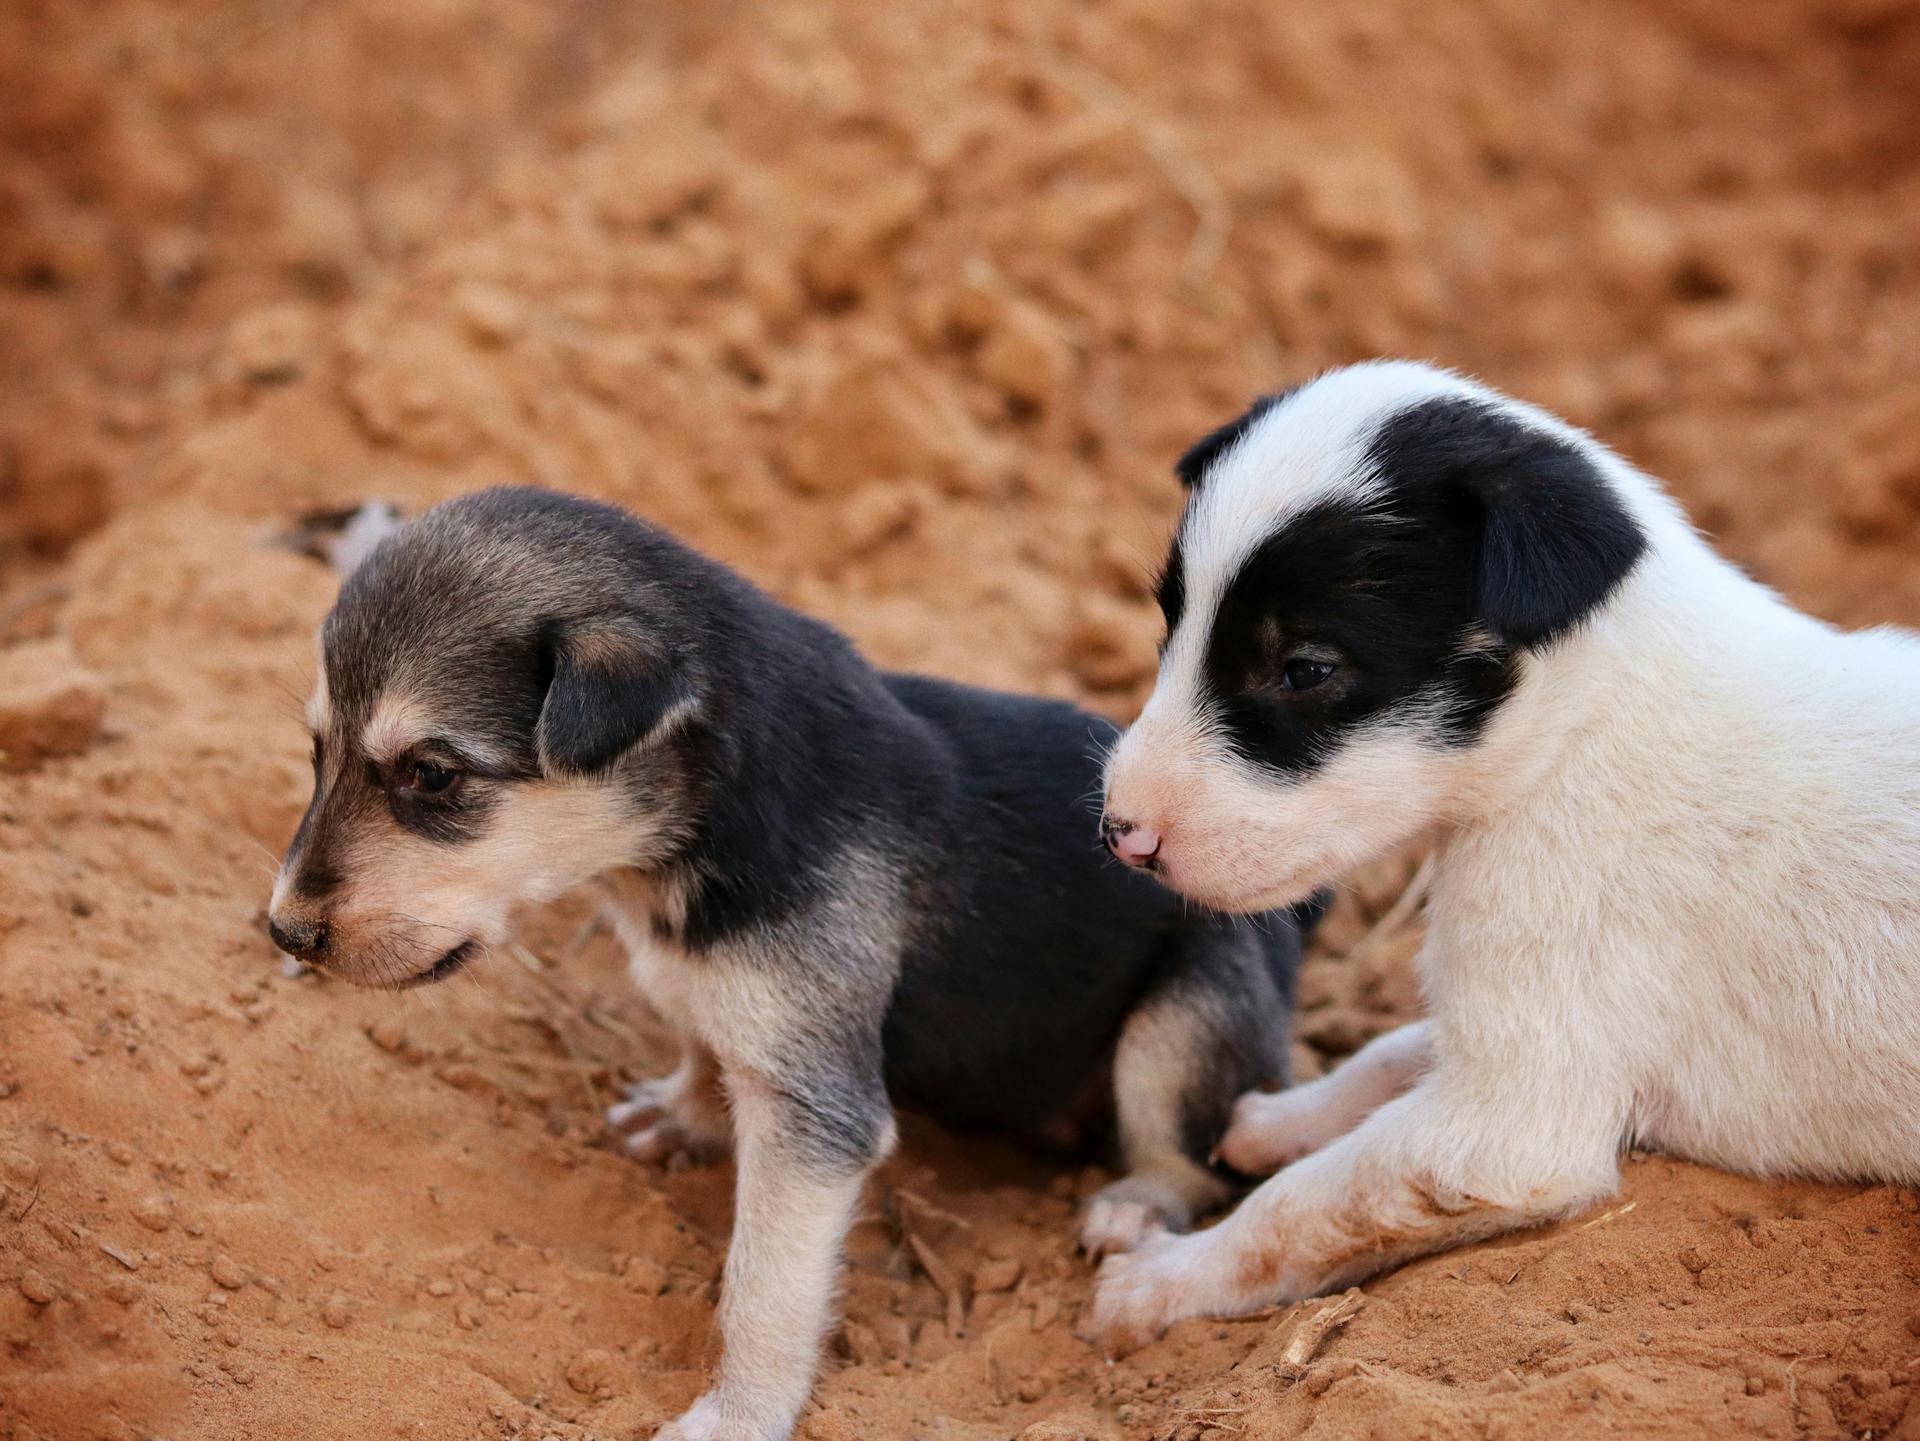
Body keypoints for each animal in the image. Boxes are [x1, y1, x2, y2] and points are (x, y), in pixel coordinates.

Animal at [266, 487, 1305, 1441]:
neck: (690, 827)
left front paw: (737, 1414)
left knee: (1196, 1154)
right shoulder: (715, 996)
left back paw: (1133, 1206)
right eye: (315, 754)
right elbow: (701, 1036)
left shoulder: (815, 1114)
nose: (283, 933)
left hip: (1186, 1016)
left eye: (433, 776)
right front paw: (684, 1112)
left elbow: (762, 1283)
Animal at [1090, 360, 1920, 1350]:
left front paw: (1161, 1279)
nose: (1122, 833)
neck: (1578, 730)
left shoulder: (1509, 1119)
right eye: (1169, 624)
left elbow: (1304, 1204)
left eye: (1305, 670)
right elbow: (1391, 1051)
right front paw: (1279, 1118)